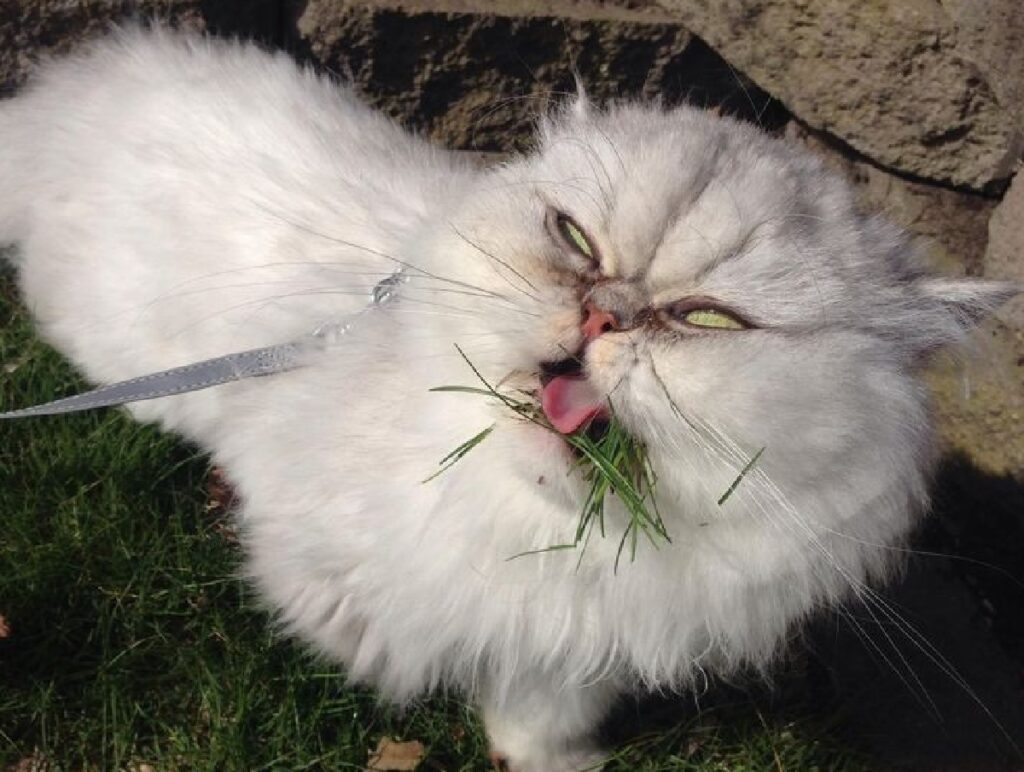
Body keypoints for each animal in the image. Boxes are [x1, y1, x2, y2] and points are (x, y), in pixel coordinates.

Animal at [0, 27, 1015, 765]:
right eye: (574, 240)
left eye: (706, 320)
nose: (604, 313)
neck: (541, 533)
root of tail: (64, 94)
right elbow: (367, 623)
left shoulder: (566, 653)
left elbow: (535, 722)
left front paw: (555, 762)